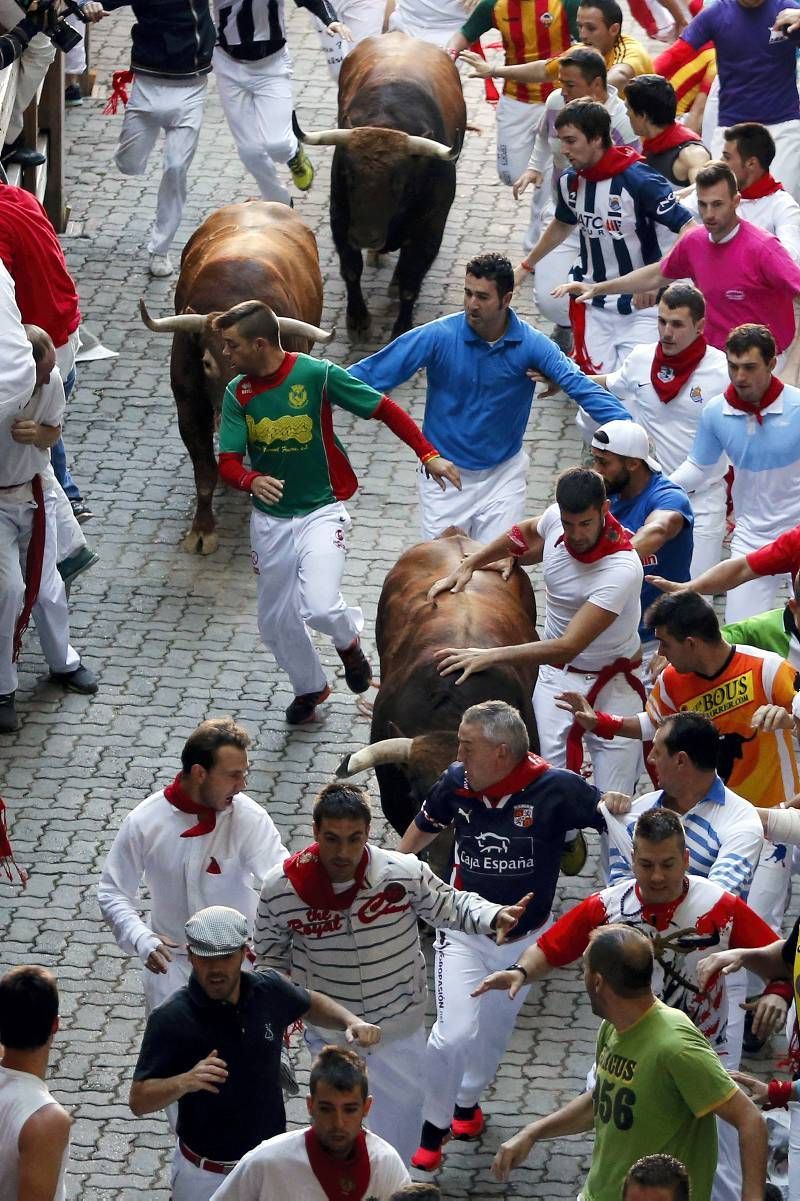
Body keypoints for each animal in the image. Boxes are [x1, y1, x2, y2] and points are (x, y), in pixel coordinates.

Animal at [295, 31, 463, 338]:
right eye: (348, 175)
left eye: (400, 183)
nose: (365, 236)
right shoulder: (340, 217)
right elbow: (351, 269)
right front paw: (357, 317)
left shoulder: (431, 229)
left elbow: (411, 281)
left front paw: (402, 327)